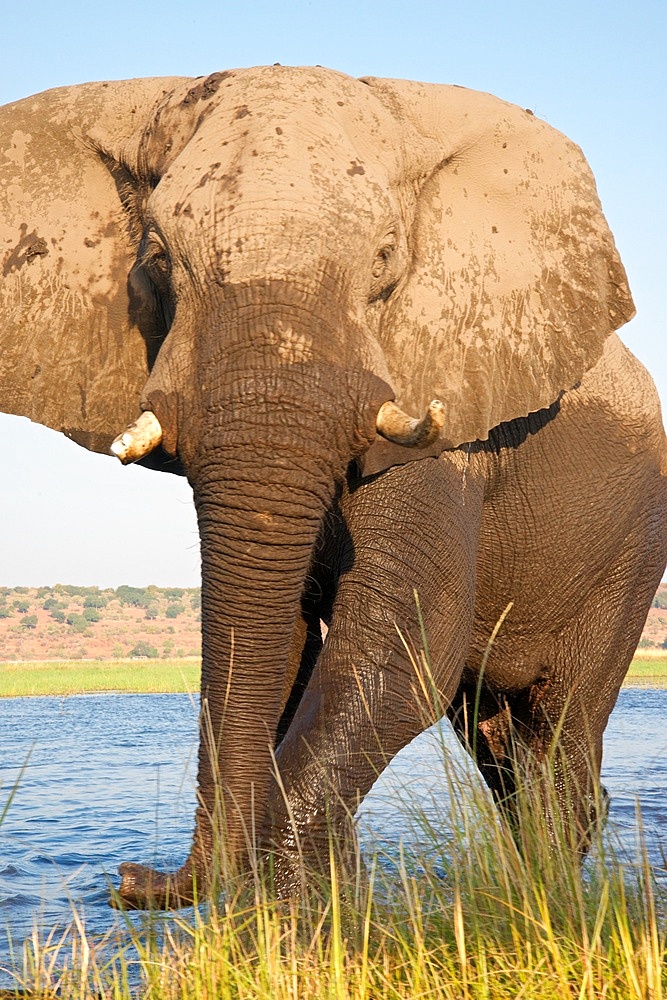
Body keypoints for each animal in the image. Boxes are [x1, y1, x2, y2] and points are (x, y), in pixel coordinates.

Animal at [1, 62, 667, 908]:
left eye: (384, 259)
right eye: (155, 260)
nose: (124, 881)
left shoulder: (447, 410)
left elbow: (404, 639)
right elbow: (286, 643)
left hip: (632, 543)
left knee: (559, 729)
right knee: (494, 740)